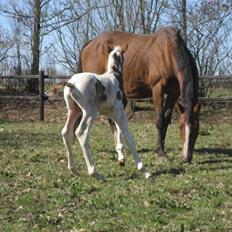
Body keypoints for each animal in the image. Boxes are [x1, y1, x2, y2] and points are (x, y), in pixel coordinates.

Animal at [61, 45, 150, 179]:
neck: (114, 76)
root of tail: (72, 83)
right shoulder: (120, 114)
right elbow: (129, 138)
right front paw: (144, 170)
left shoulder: (112, 115)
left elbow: (118, 133)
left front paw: (121, 159)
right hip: (90, 113)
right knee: (81, 133)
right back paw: (95, 173)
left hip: (74, 111)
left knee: (66, 132)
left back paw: (73, 169)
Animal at [79, 25, 200, 163]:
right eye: (181, 126)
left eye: (197, 128)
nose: (187, 158)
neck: (168, 51)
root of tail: (90, 43)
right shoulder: (157, 89)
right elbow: (159, 119)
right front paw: (160, 151)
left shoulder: (173, 93)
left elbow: (166, 120)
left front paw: (162, 147)